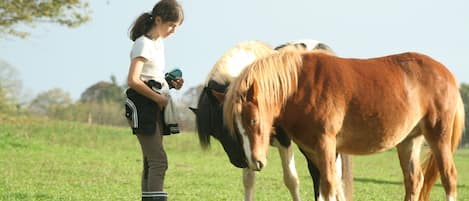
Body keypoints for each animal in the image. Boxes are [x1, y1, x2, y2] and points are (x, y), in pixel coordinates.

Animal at [224, 50, 464, 201]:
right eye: (236, 126)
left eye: (253, 120)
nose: (255, 162)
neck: (300, 86)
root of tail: (447, 75)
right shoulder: (312, 151)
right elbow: (326, 187)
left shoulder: (326, 144)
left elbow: (330, 185)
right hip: (409, 140)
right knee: (414, 181)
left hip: (438, 136)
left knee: (449, 177)